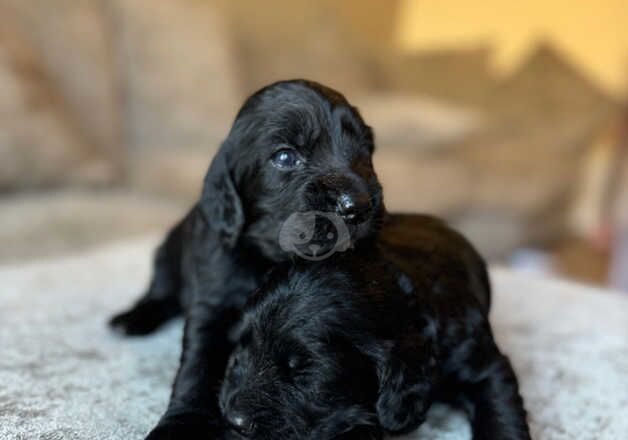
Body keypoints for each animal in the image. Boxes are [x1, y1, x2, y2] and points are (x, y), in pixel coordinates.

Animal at [110, 79, 386, 436]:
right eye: (285, 156)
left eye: (365, 150)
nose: (358, 206)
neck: (270, 258)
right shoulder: (211, 305)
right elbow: (197, 367)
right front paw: (182, 422)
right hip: (168, 254)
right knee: (160, 292)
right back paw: (132, 319)